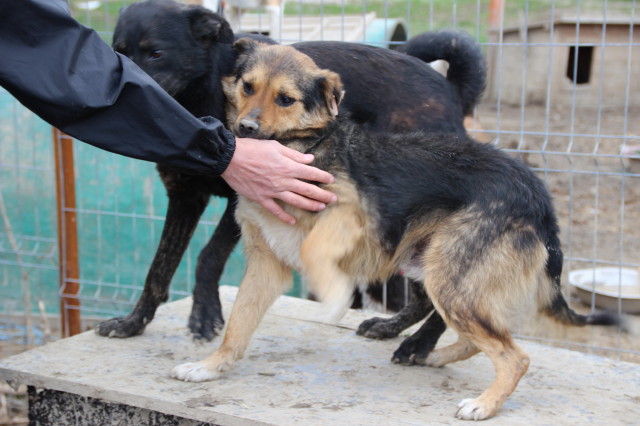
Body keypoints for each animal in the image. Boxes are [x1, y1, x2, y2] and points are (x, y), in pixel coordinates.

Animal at [95, 0, 484, 360]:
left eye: (157, 52)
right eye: (119, 51)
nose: (128, 96)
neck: (201, 100)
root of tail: (450, 89)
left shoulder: (247, 194)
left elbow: (209, 254)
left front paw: (204, 313)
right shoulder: (185, 197)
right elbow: (159, 268)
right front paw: (133, 322)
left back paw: (421, 343)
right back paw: (391, 327)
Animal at [170, 40, 620, 420]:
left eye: (286, 99)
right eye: (248, 87)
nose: (244, 129)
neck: (302, 143)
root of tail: (537, 194)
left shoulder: (352, 216)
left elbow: (316, 253)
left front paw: (336, 299)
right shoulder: (266, 263)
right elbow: (237, 326)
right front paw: (210, 367)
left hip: (449, 275)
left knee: (515, 355)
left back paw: (483, 402)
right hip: (434, 266)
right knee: (478, 335)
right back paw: (428, 354)